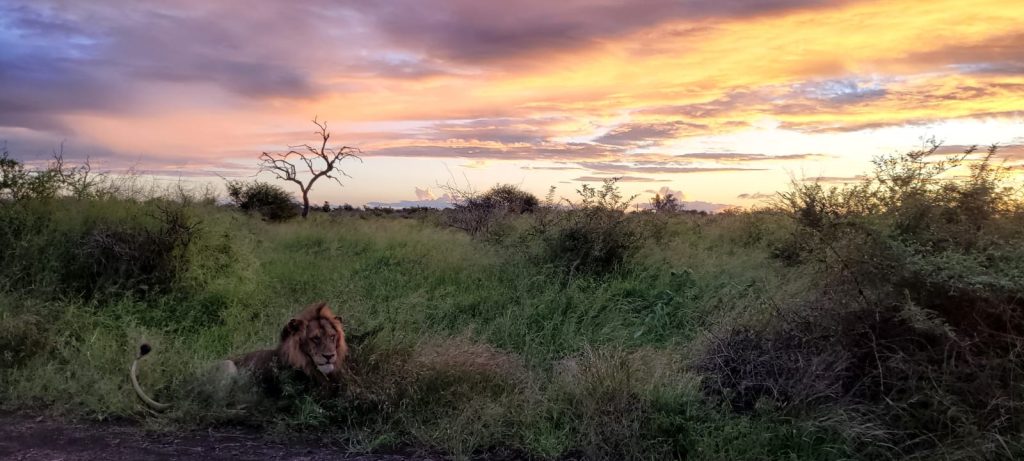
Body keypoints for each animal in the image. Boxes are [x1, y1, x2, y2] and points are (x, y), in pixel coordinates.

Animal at [130, 302, 348, 411]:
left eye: (332, 336)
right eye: (315, 339)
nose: (329, 356)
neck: (309, 365)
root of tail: (188, 389)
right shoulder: (298, 399)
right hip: (228, 365)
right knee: (216, 409)